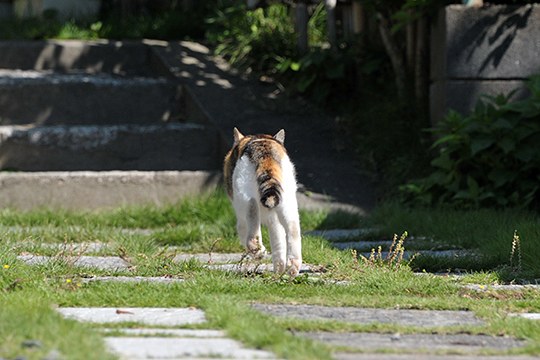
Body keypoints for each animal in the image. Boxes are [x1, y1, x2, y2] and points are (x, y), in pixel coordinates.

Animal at [221, 128, 302, 278]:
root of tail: (265, 150)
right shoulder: (274, 219)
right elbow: (278, 242)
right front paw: (278, 270)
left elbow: (243, 231)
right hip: (288, 202)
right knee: (293, 228)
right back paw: (292, 267)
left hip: (244, 196)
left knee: (251, 222)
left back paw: (259, 252)